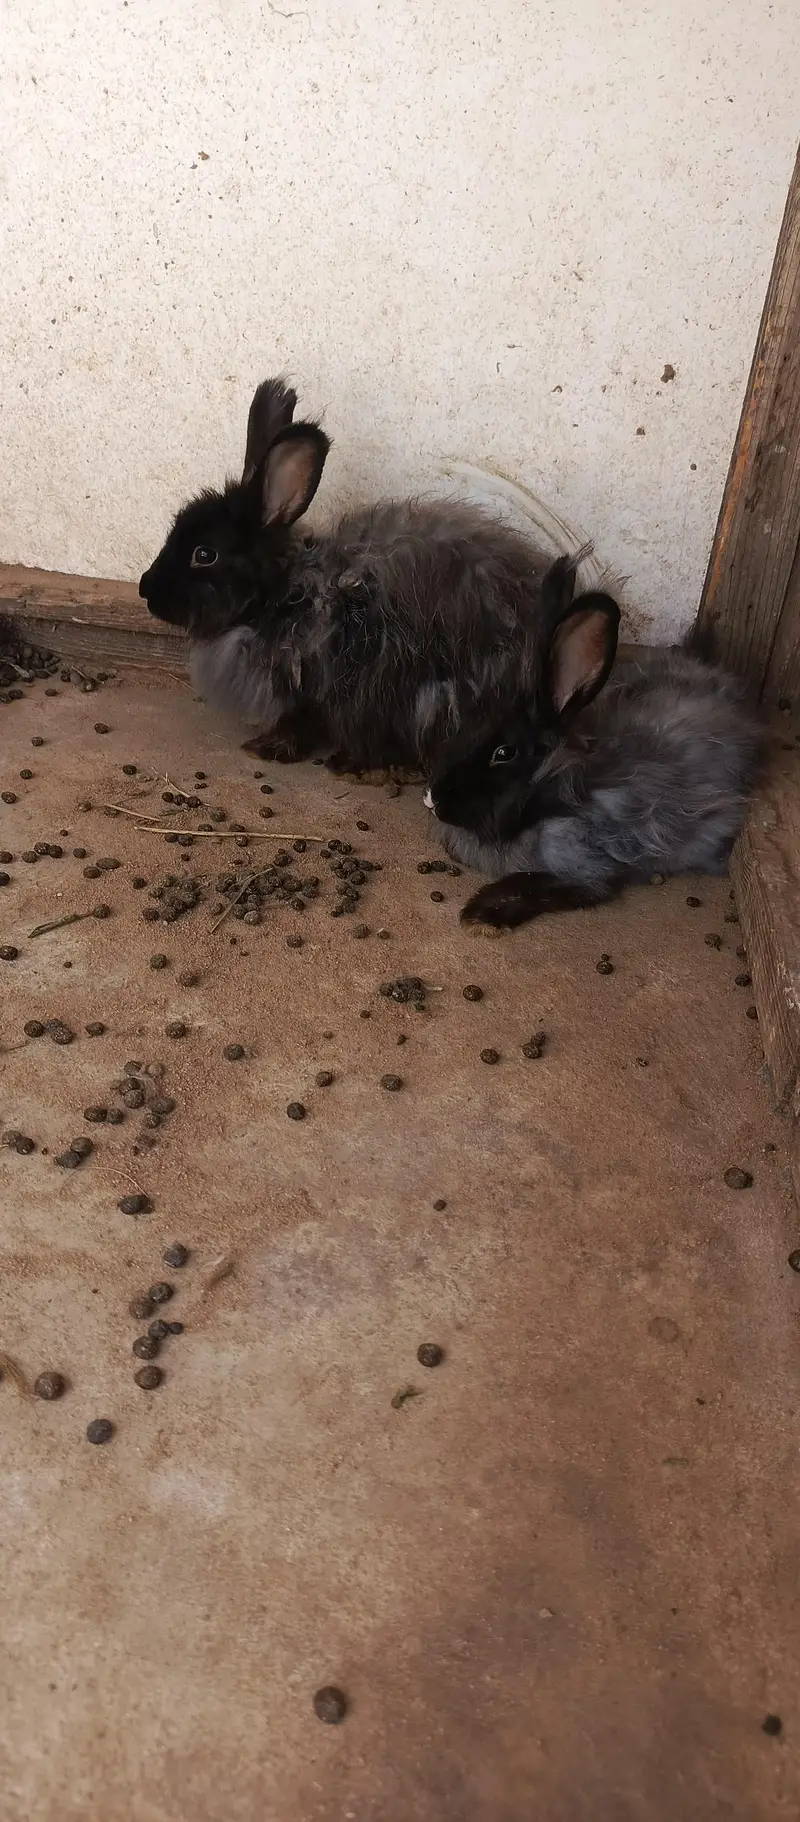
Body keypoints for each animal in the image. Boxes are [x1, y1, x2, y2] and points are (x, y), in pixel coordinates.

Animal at [138, 377, 569, 774]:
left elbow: (301, 721)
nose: (145, 589)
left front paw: (269, 749)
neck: (278, 595)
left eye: (204, 554)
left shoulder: (311, 681)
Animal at [426, 555, 764, 928]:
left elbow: (541, 885)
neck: (549, 793)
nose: (431, 798)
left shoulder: (584, 866)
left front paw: (479, 915)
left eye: (504, 753)